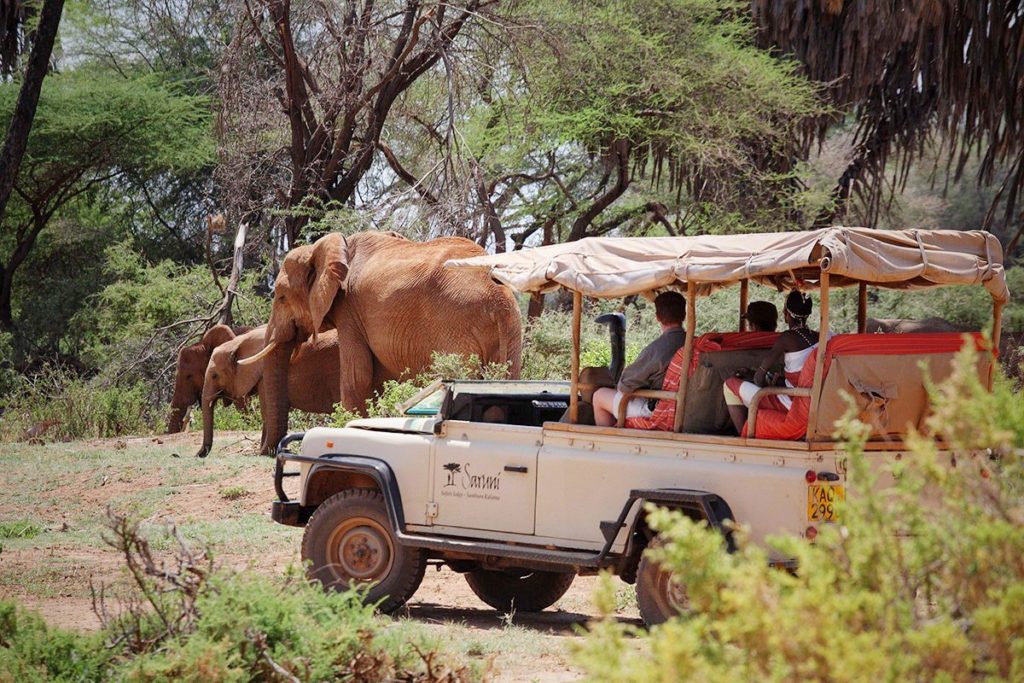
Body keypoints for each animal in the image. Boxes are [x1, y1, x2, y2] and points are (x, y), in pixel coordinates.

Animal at [195, 325, 344, 458]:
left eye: (215, 375)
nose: (198, 454)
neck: (238, 342)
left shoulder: (263, 376)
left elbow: (266, 411)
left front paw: (264, 452)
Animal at [243, 231, 524, 454]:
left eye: (281, 297)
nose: (265, 450)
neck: (326, 247)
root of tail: (497, 293)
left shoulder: (349, 311)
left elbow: (358, 374)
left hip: (455, 325)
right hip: (509, 330)